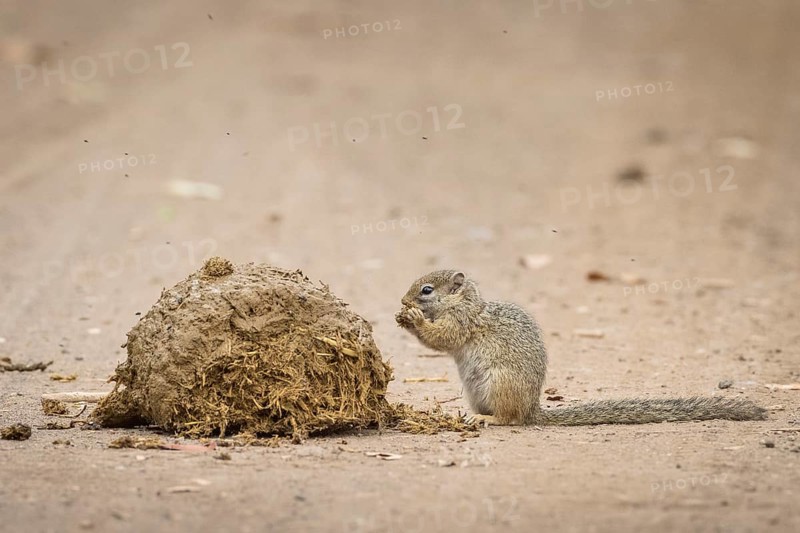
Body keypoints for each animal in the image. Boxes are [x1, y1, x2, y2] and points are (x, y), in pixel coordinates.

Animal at [395, 269, 767, 426]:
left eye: (427, 290)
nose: (403, 299)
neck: (465, 301)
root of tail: (532, 409)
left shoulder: (462, 321)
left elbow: (443, 338)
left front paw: (412, 317)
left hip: (501, 384)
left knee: (510, 419)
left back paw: (488, 419)